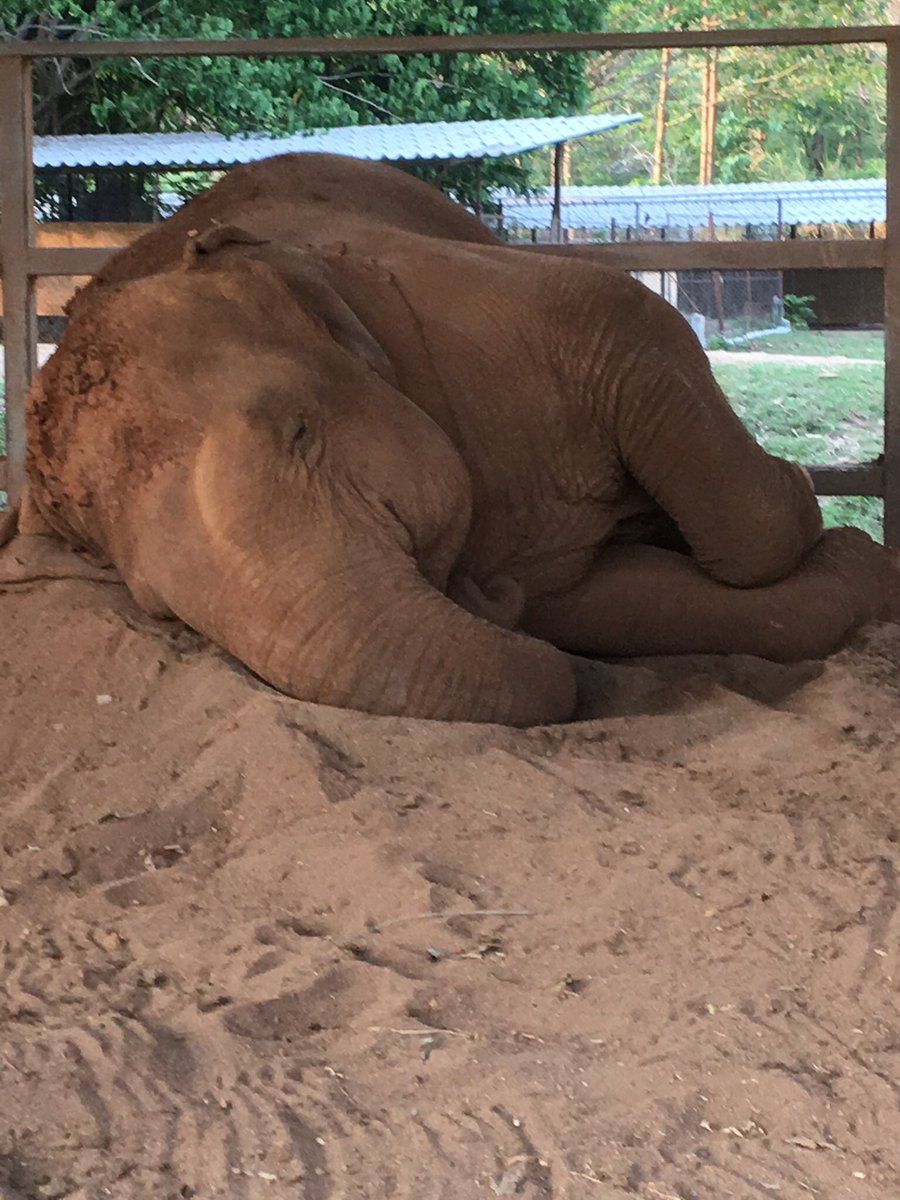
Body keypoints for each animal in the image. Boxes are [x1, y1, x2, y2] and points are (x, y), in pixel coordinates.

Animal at [23, 153, 899, 725]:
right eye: (157, 607)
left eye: (298, 431)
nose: (482, 591)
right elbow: (606, 598)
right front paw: (860, 560)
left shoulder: (485, 310)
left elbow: (619, 306)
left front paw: (821, 511)